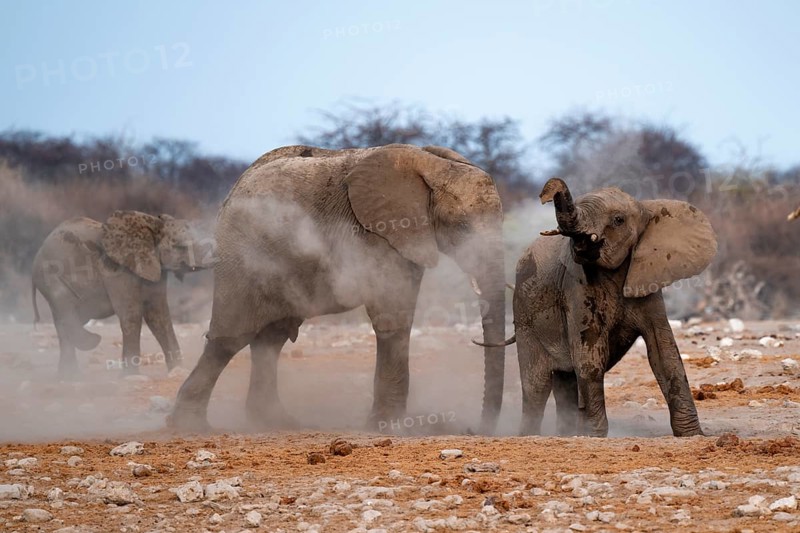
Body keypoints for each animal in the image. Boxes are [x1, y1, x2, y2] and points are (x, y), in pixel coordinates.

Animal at [32, 211, 214, 378]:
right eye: (180, 246)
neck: (152, 226)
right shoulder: (116, 269)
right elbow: (131, 313)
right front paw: (131, 376)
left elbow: (158, 314)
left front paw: (178, 371)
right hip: (50, 276)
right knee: (65, 310)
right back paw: (87, 350)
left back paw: (69, 376)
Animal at [168, 144, 507, 433]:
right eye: (461, 227)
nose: (476, 429)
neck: (433, 166)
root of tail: (236, 185)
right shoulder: (378, 232)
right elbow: (392, 317)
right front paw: (388, 428)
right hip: (243, 257)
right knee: (230, 338)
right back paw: (190, 426)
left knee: (270, 340)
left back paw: (275, 422)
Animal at [488, 178, 717, 437]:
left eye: (618, 220)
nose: (546, 193)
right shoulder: (576, 287)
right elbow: (590, 355)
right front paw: (595, 435)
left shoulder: (648, 284)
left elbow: (665, 351)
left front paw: (692, 435)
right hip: (524, 314)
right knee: (537, 385)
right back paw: (532, 435)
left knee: (565, 381)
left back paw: (567, 432)